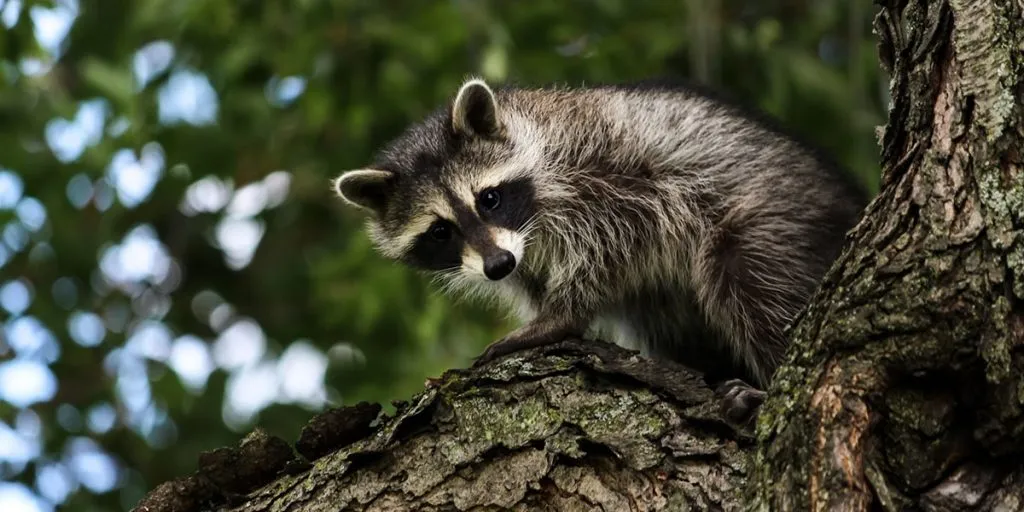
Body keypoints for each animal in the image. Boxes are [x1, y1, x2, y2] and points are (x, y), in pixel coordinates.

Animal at [331, 74, 868, 419]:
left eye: (489, 198)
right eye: (440, 232)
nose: (499, 265)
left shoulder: (615, 173)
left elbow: (614, 244)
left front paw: (559, 316)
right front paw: (545, 307)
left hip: (778, 216)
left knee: (752, 282)